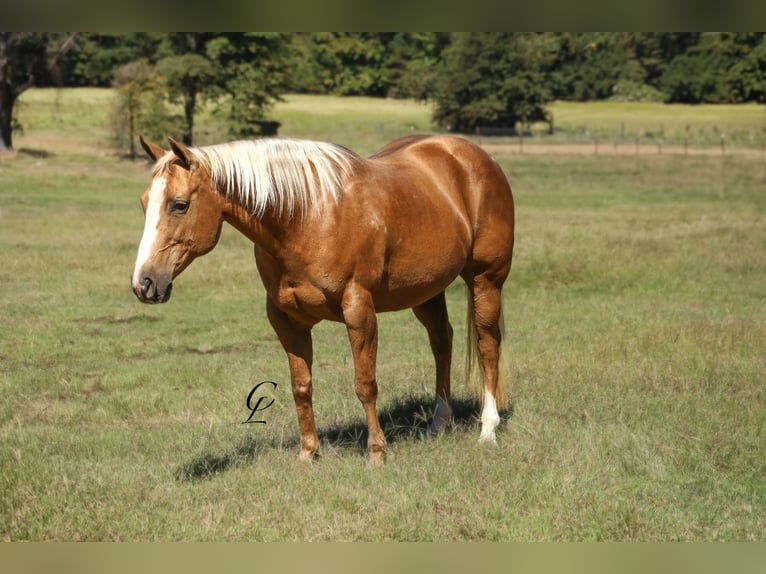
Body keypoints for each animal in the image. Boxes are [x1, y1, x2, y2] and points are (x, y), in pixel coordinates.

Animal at [132, 136, 516, 468]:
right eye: (144, 203)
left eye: (179, 205)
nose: (143, 283)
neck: (305, 217)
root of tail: (471, 154)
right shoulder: (286, 320)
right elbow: (301, 387)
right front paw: (307, 453)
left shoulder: (359, 310)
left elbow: (365, 384)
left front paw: (376, 453)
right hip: (426, 291)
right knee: (441, 342)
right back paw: (438, 424)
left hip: (485, 280)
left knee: (487, 346)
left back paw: (488, 429)